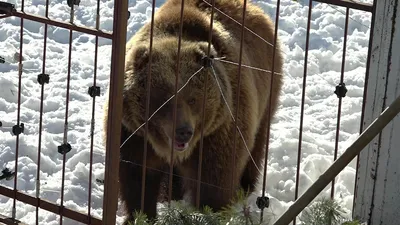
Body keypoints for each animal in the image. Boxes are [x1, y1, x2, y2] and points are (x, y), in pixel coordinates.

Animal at [103, 0, 284, 222]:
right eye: (163, 98)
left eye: (193, 99)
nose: (184, 131)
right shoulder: (133, 134)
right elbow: (136, 177)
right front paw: (139, 215)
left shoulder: (218, 132)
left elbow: (214, 182)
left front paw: (208, 212)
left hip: (268, 91)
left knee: (257, 142)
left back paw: (245, 186)